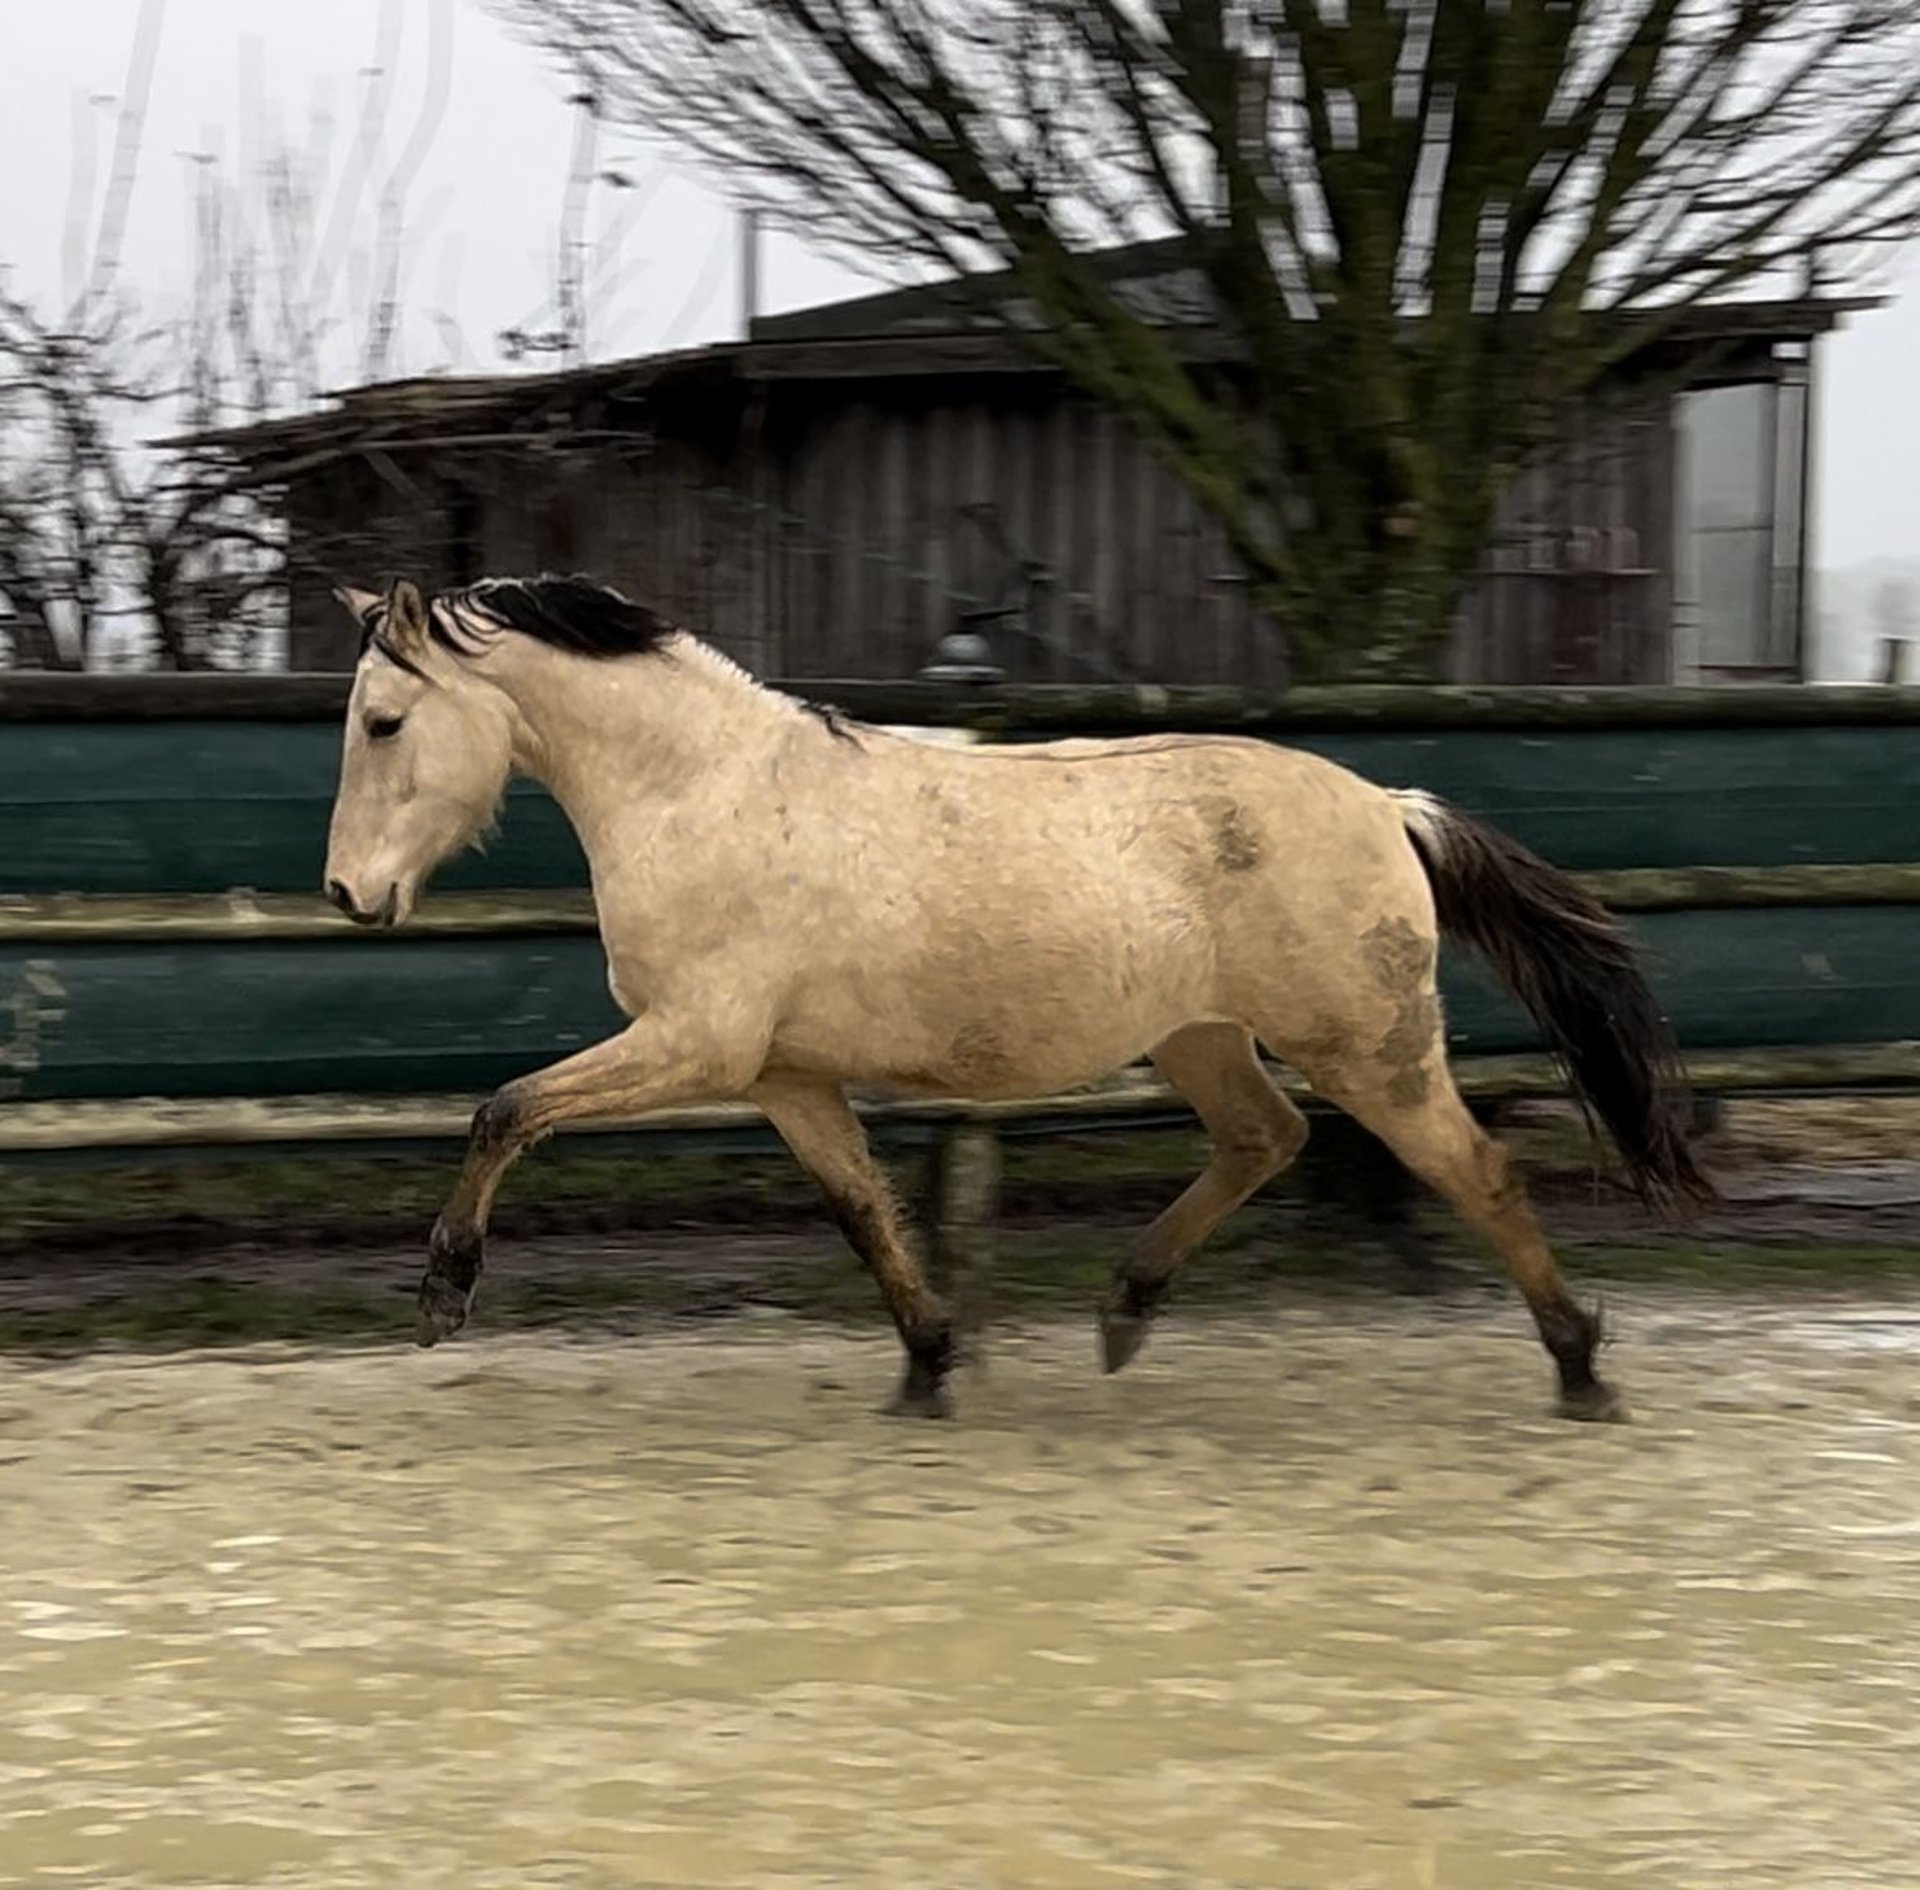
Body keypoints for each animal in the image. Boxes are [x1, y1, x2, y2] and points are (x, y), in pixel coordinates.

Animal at [318, 572, 1712, 1413]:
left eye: (383, 722)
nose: (346, 895)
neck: (701, 791)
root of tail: (1386, 804)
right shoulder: (782, 1073)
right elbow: (862, 1210)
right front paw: (929, 1366)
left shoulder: (694, 1045)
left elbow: (507, 1107)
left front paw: (443, 1299)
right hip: (1205, 1038)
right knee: (1267, 1138)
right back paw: (1124, 1313)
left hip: (1373, 1047)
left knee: (1477, 1172)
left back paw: (1582, 1370)